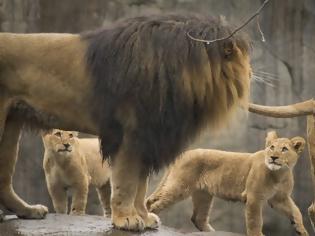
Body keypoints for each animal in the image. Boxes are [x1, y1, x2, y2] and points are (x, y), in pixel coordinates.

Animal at [0, 14, 252, 230]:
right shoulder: (131, 133)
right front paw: (126, 219)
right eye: (243, 61)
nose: (251, 74)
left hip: (11, 124)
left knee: (4, 177)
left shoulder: (149, 137)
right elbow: (127, 180)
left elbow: (141, 185)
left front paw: (143, 216)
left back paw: (28, 211)